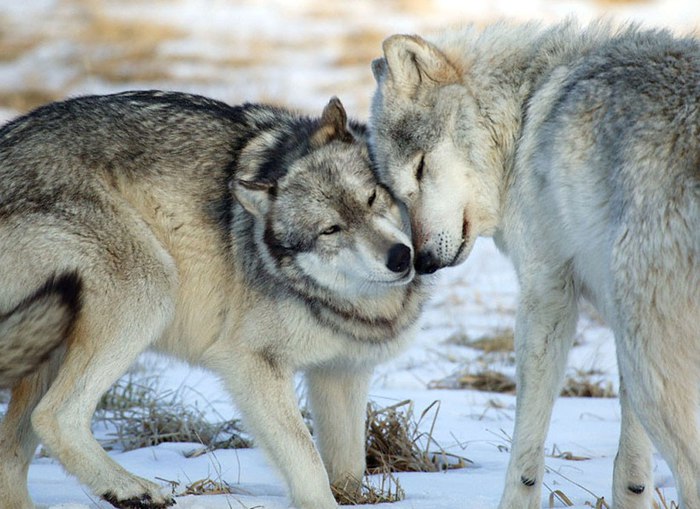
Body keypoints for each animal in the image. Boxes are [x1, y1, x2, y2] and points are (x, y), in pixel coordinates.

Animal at [0, 91, 426, 508]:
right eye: (331, 230)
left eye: (372, 197)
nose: (400, 257)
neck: (355, 303)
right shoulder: (251, 363)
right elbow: (306, 461)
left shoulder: (342, 372)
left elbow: (348, 469)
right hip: (149, 288)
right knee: (54, 416)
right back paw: (132, 488)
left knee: (10, 453)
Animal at [370, 19, 696, 508]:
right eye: (397, 192)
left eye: (421, 168)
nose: (422, 261)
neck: (523, 115)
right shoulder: (614, 324)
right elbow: (632, 462)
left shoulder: (546, 295)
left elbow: (525, 449)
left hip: (651, 360)